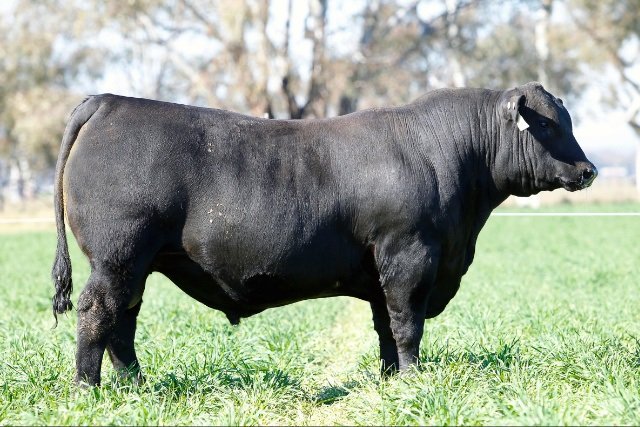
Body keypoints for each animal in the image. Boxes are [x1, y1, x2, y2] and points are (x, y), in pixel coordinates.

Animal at [51, 82, 596, 386]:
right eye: (548, 125)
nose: (589, 170)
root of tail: (110, 101)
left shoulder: (382, 270)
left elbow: (385, 328)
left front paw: (389, 379)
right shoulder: (409, 255)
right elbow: (407, 323)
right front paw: (414, 380)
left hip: (135, 265)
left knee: (123, 320)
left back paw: (135, 385)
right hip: (118, 256)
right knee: (99, 314)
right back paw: (87, 388)